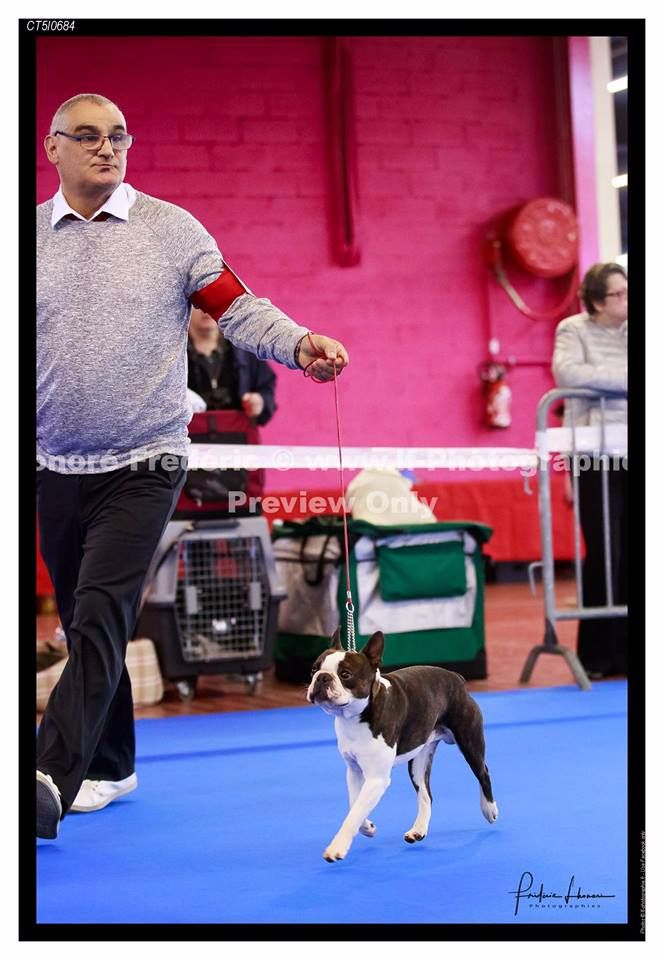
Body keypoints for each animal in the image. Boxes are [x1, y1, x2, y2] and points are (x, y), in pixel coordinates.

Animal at [306, 628, 498, 862]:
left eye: (345, 675)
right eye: (314, 669)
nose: (322, 677)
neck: (356, 716)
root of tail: (457, 678)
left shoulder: (376, 779)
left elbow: (354, 812)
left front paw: (338, 846)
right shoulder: (354, 771)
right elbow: (355, 804)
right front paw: (367, 827)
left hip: (469, 741)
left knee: (483, 772)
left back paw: (489, 809)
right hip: (418, 761)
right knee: (426, 794)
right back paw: (418, 830)